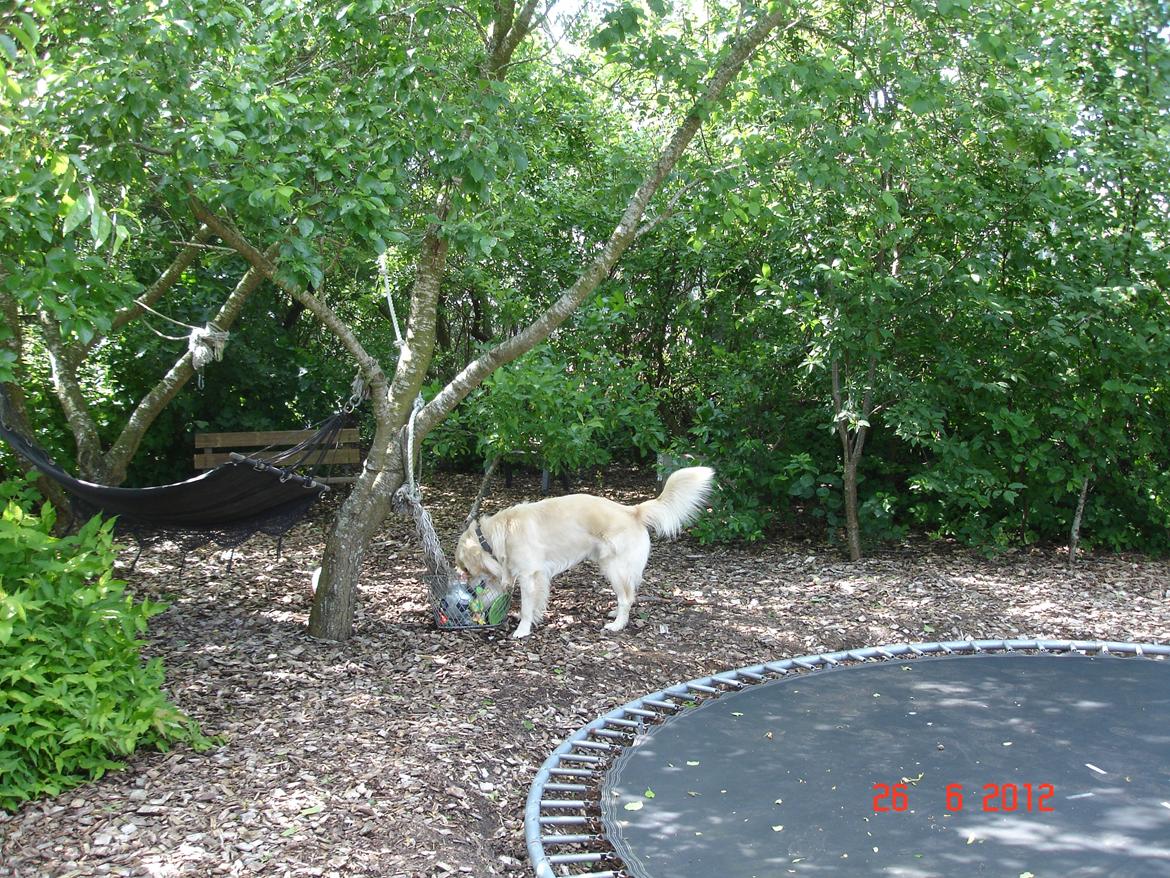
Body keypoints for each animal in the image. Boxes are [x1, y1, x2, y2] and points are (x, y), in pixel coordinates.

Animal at [453, 468, 711, 641]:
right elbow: (536, 603)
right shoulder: (538, 576)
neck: (500, 533)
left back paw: (617, 625)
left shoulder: (529, 575)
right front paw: (534, 619)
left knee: (626, 597)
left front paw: (522, 630)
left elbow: (526, 606)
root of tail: (633, 511)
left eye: (465, 569)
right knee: (628, 596)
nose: (468, 590)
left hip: (614, 568)